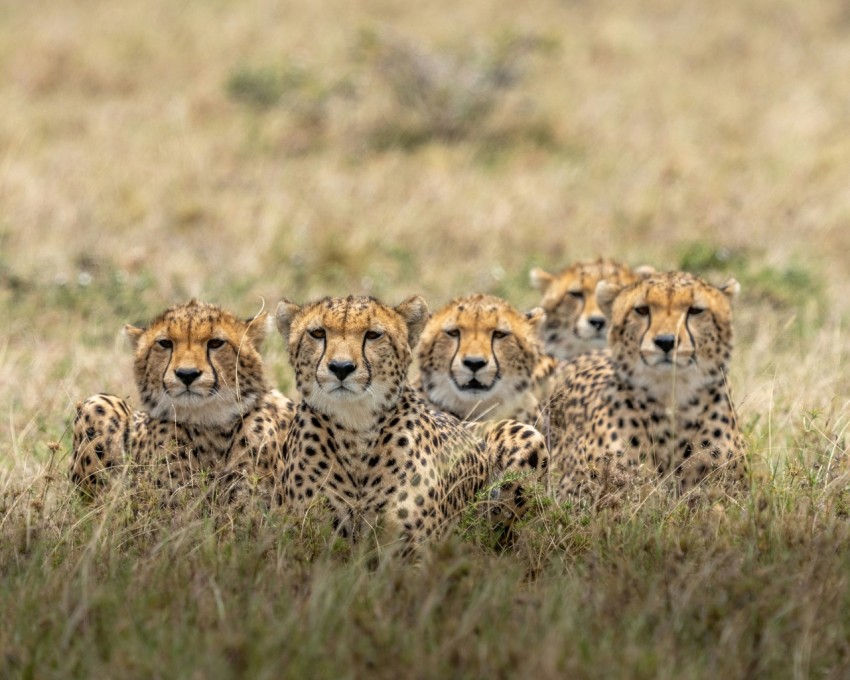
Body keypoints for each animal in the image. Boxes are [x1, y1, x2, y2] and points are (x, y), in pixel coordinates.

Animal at [272, 294, 549, 553]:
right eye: (318, 333)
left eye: (373, 335)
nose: (341, 367)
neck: (355, 429)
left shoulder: (413, 549)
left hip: (526, 436)